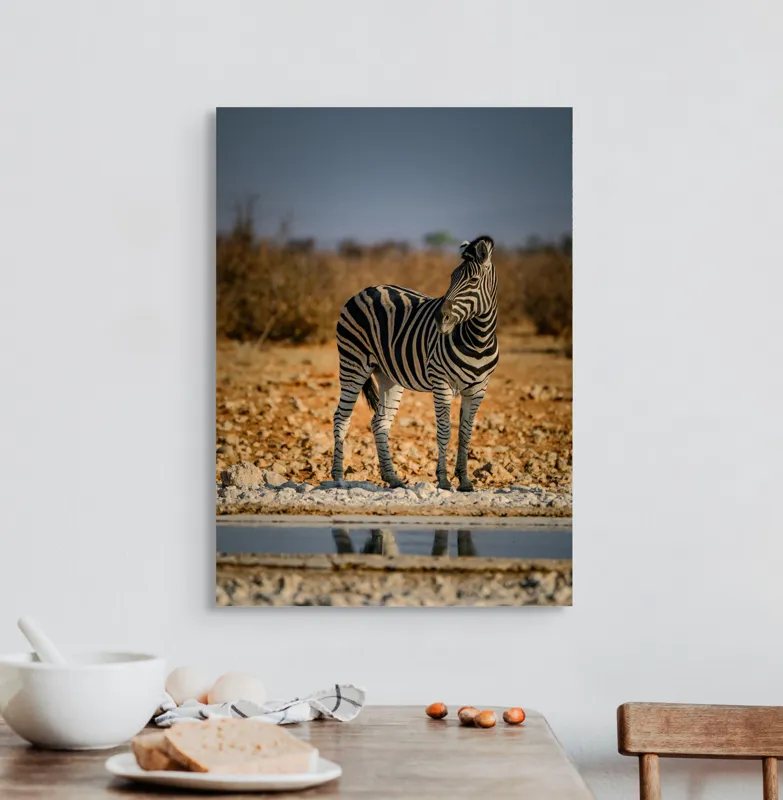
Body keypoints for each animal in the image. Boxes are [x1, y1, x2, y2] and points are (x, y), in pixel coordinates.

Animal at [331, 235, 498, 492]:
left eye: (473, 280)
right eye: (451, 277)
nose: (440, 318)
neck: (478, 340)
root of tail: (366, 290)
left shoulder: (479, 389)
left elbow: (465, 433)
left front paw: (465, 481)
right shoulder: (442, 383)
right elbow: (444, 431)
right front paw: (443, 480)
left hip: (387, 375)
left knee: (379, 422)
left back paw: (393, 478)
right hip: (353, 363)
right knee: (341, 417)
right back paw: (339, 478)